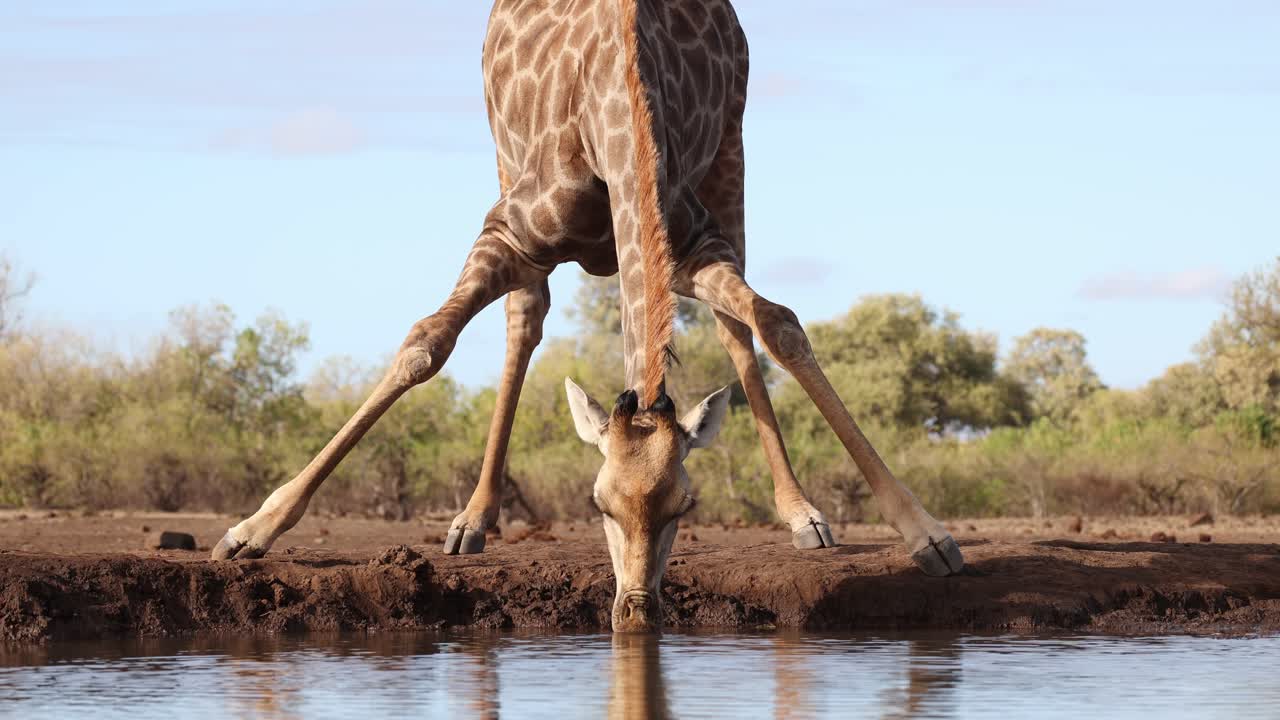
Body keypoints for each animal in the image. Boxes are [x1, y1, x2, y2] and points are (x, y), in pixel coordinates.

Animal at [212, 0, 965, 631]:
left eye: (685, 506)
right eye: (598, 503)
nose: (636, 609)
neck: (615, 121)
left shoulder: (694, 243)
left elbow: (778, 324)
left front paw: (928, 534)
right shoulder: (507, 231)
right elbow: (426, 344)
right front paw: (251, 531)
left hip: (732, 153)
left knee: (736, 328)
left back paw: (802, 514)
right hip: (504, 155)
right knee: (525, 317)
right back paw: (471, 520)